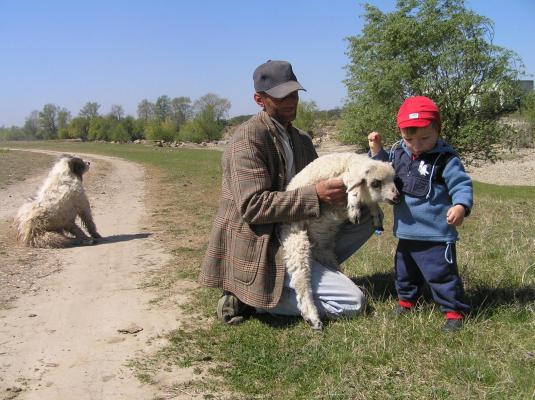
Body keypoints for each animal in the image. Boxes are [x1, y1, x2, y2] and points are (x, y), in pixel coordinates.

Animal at [280, 152, 398, 330]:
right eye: (376, 183)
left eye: (394, 179)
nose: (396, 196)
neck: (350, 162)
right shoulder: (340, 178)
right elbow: (351, 185)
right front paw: (355, 208)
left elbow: (370, 203)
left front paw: (375, 213)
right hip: (296, 238)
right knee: (301, 278)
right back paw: (313, 318)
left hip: (324, 251)